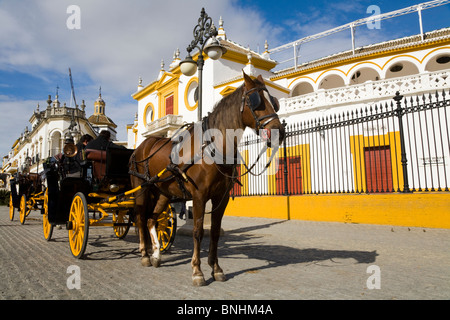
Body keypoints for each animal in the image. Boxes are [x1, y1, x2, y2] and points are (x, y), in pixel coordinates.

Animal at [130, 71, 284, 286]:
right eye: (256, 101)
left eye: (274, 102)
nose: (279, 131)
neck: (213, 146)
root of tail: (142, 146)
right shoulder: (199, 196)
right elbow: (198, 231)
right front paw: (197, 271)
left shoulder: (221, 198)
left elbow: (215, 232)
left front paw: (216, 268)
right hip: (142, 190)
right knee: (140, 218)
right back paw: (145, 255)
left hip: (163, 193)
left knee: (152, 219)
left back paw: (156, 255)